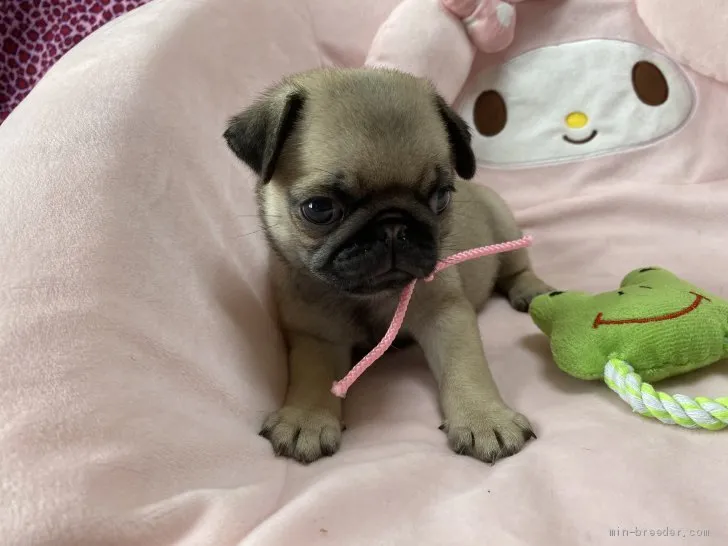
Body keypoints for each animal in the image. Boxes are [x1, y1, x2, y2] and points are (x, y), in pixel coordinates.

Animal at [223, 67, 552, 464]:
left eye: (441, 197)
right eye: (319, 208)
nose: (393, 226)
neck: (368, 298)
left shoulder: (446, 314)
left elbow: (466, 365)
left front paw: (484, 418)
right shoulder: (316, 333)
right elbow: (312, 374)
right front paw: (307, 418)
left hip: (503, 222)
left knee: (516, 267)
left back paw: (532, 290)